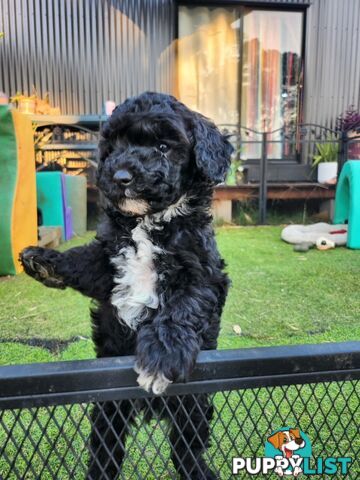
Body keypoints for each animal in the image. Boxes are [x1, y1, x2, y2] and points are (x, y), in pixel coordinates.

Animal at [20, 92, 233, 478]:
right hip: (108, 408)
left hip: (194, 403)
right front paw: (44, 260)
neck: (147, 222)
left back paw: (198, 469)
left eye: (164, 147)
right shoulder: (107, 266)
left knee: (186, 444)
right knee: (106, 447)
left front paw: (162, 354)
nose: (120, 176)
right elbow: (83, 261)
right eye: (115, 146)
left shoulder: (205, 272)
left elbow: (183, 306)